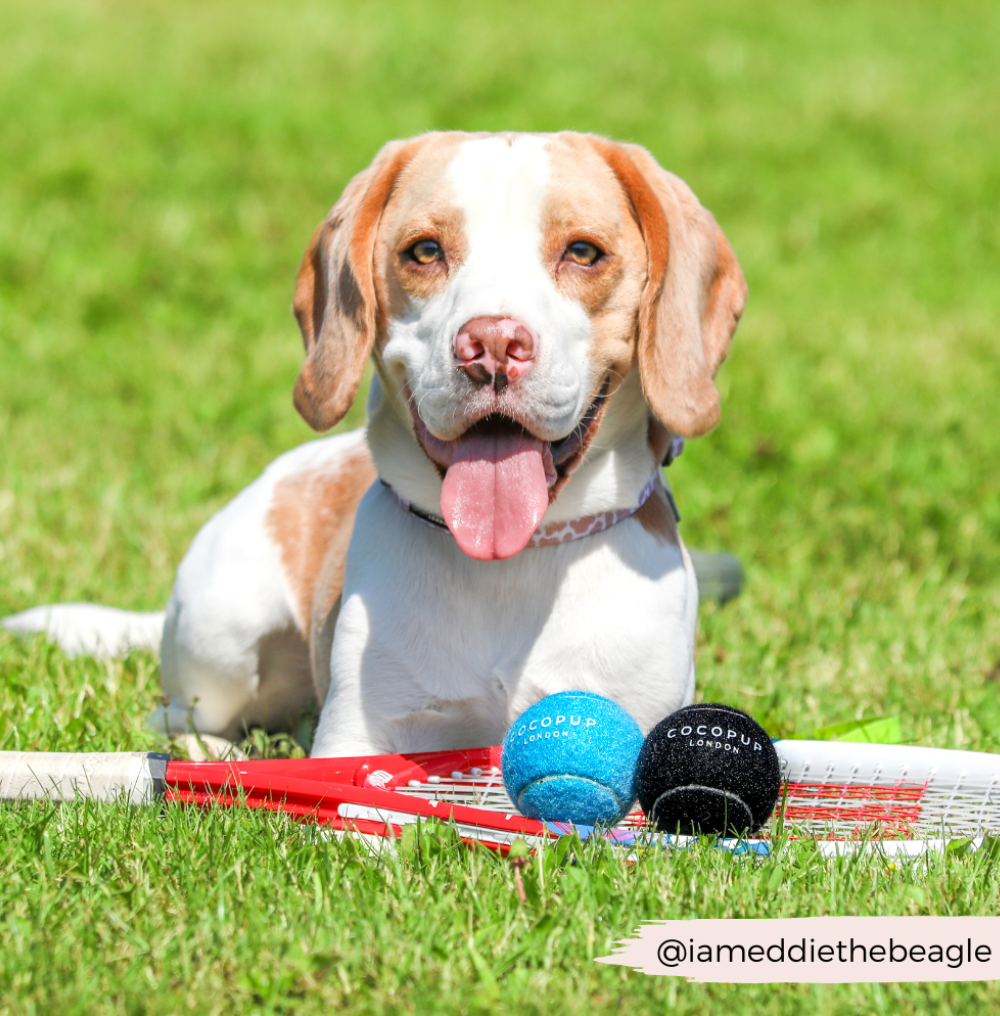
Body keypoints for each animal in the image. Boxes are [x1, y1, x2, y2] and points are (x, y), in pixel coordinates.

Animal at [1, 133, 743, 755]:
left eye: (584, 252)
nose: (492, 344)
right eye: (424, 250)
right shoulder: (360, 736)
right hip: (224, 640)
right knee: (178, 715)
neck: (514, 563)